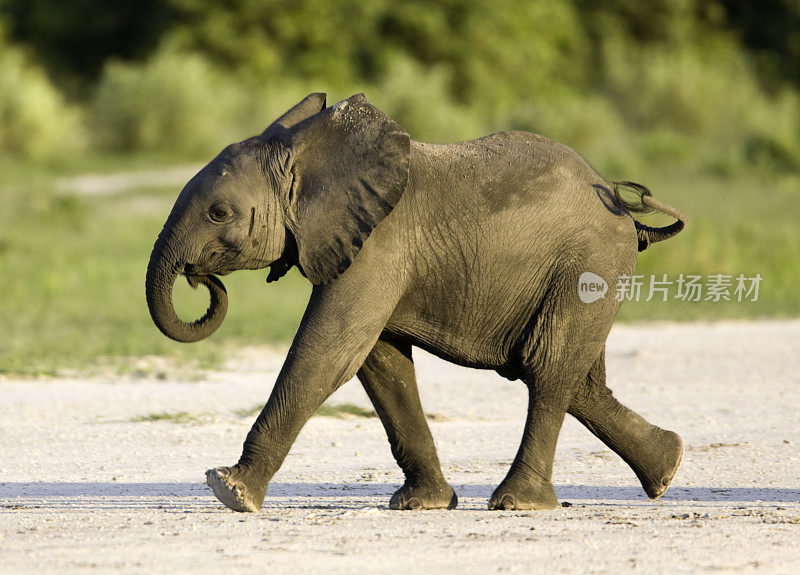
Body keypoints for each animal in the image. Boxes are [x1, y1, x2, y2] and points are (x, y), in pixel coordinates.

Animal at [147, 93, 684, 512]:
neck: (308, 155)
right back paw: (668, 467)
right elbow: (380, 365)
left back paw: (518, 503)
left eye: (219, 213)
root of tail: (622, 206)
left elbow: (329, 353)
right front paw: (423, 504)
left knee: (547, 367)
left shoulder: (377, 246)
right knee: (575, 378)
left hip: (587, 265)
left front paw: (229, 492)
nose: (199, 278)